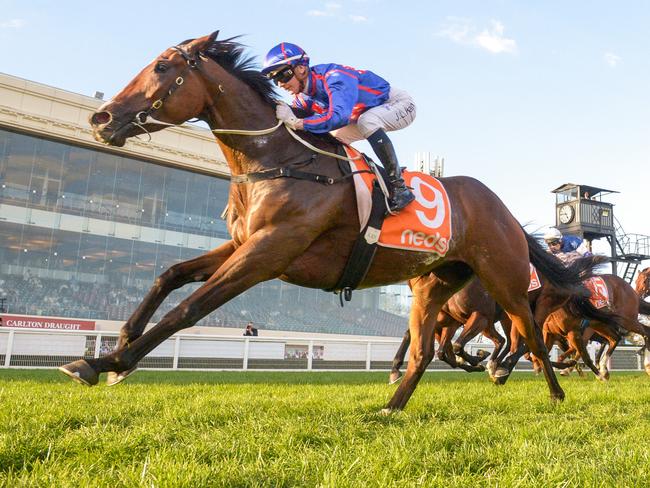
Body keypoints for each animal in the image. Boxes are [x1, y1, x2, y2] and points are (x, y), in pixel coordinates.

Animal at [58, 32, 596, 410]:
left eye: (162, 67)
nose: (102, 119)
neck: (277, 159)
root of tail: (503, 209)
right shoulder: (244, 243)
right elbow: (169, 275)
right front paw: (119, 342)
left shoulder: (270, 251)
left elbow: (190, 308)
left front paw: (106, 361)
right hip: (435, 282)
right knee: (424, 349)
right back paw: (390, 408)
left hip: (503, 278)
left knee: (529, 333)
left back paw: (549, 392)